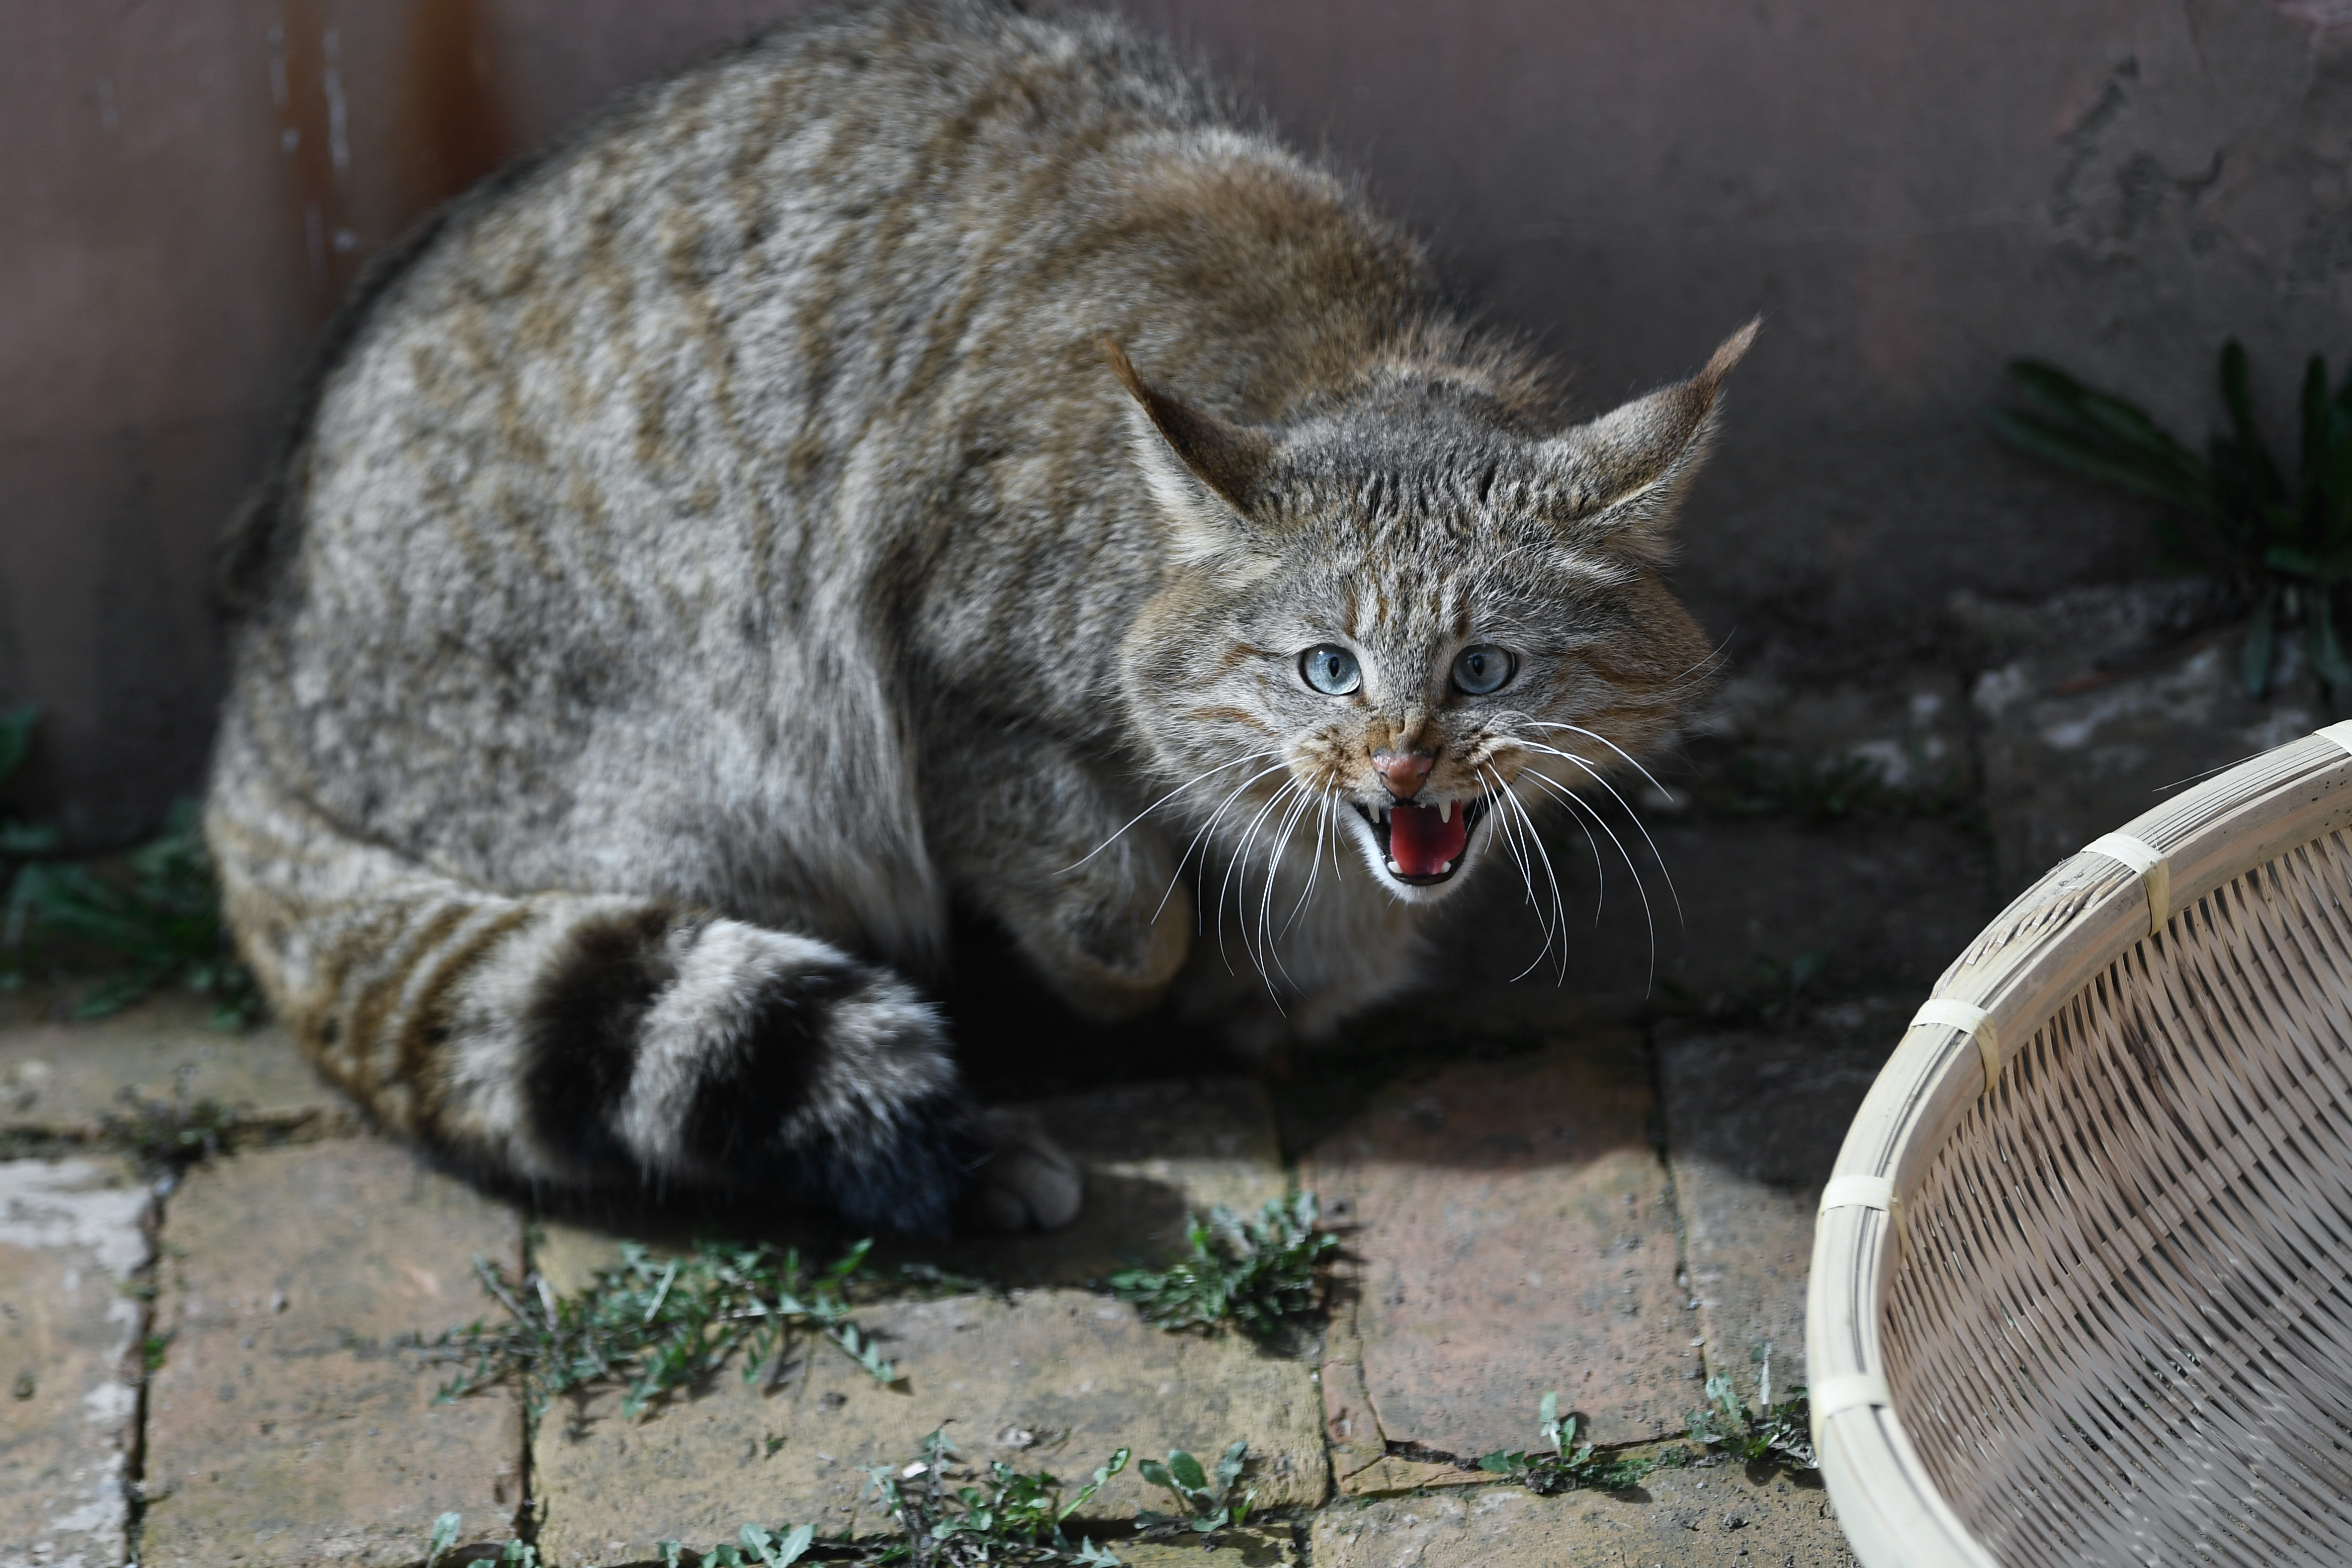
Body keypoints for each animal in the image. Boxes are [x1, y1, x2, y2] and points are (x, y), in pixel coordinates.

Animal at [207, 0, 1749, 1241]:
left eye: (1484, 668)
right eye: (1328, 666)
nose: (1399, 758)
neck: (1344, 358)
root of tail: (257, 674)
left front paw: (1292, 961)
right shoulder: (934, 674)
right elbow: (1113, 901)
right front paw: (1154, 968)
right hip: (705, 742)